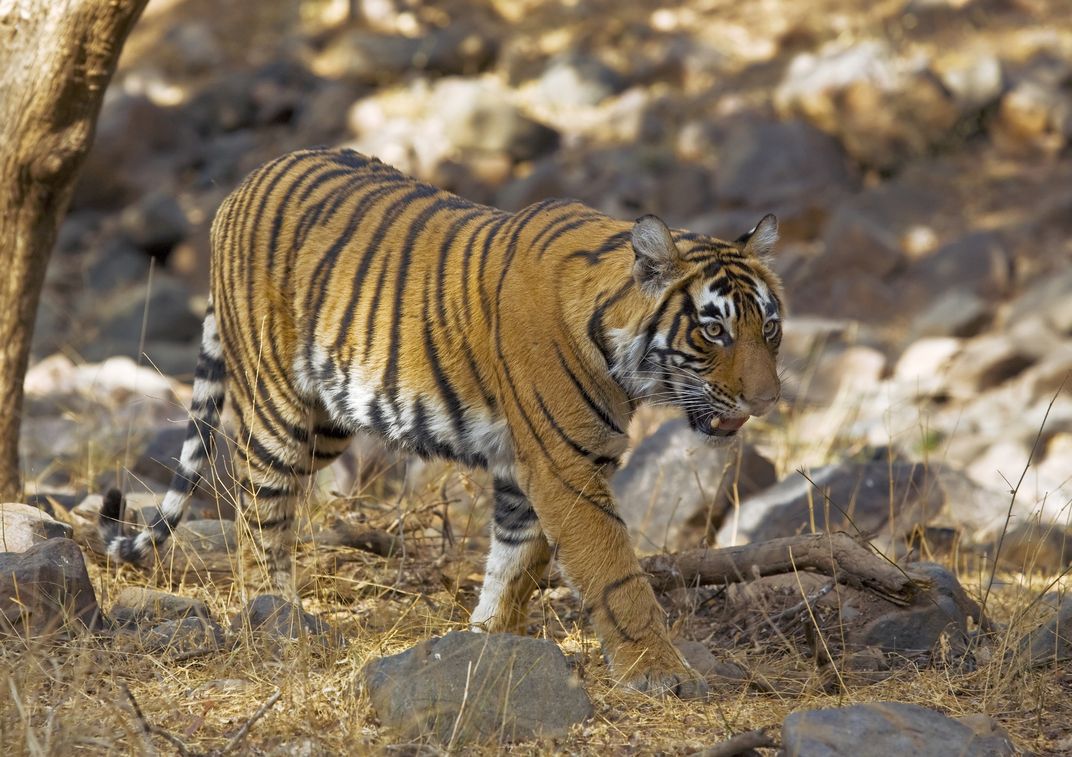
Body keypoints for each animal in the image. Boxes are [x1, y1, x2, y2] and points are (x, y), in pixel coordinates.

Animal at [99, 147, 784, 698]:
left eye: (769, 327)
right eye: (714, 330)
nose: (768, 399)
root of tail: (241, 186)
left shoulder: (529, 468)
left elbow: (515, 564)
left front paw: (491, 644)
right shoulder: (565, 469)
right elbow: (615, 575)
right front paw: (661, 672)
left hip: (327, 421)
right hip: (276, 407)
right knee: (256, 515)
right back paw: (277, 625)